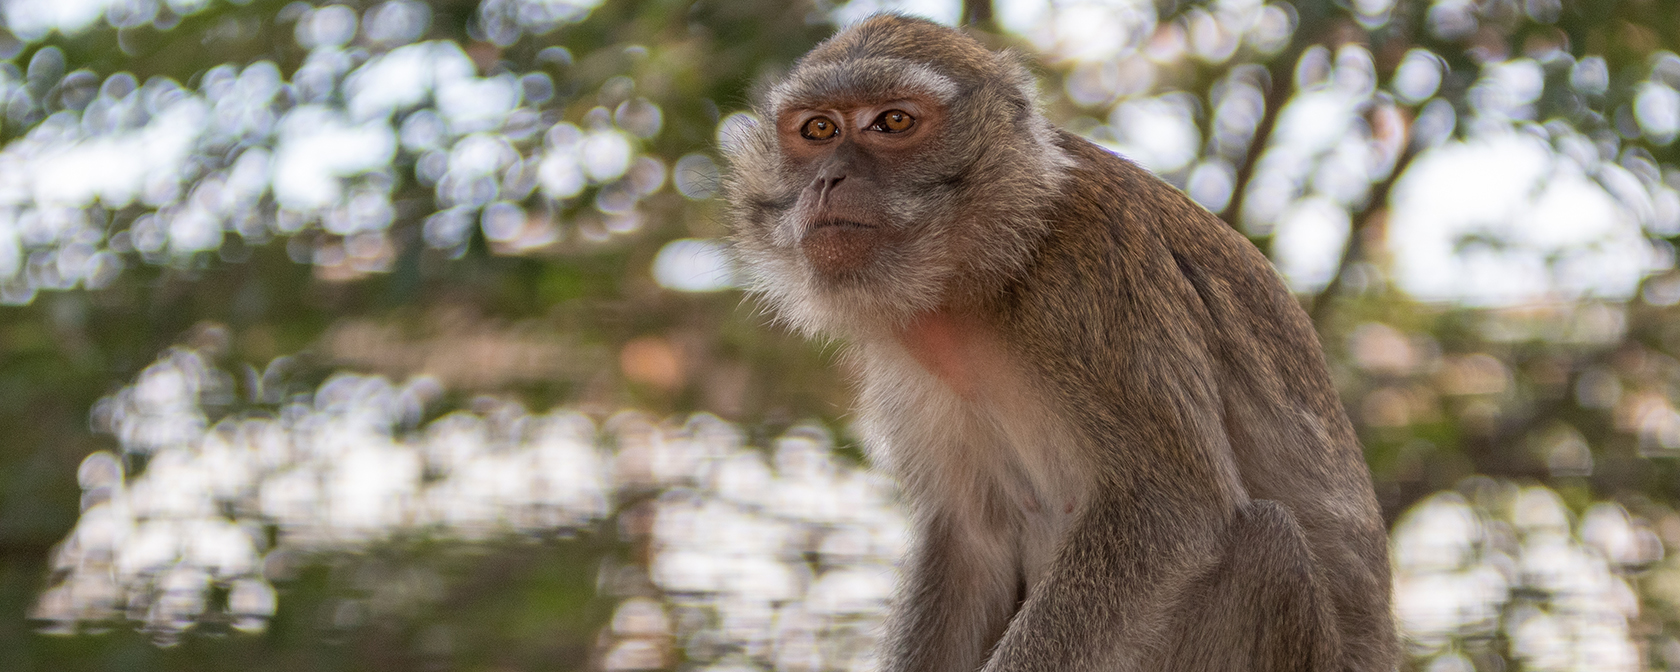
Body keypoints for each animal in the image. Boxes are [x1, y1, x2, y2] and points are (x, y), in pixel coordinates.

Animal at [722, 14, 1397, 672]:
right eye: (818, 129)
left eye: (893, 121)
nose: (829, 178)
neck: (980, 280)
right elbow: (972, 543)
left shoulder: (1093, 273)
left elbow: (1168, 508)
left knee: (1264, 544)